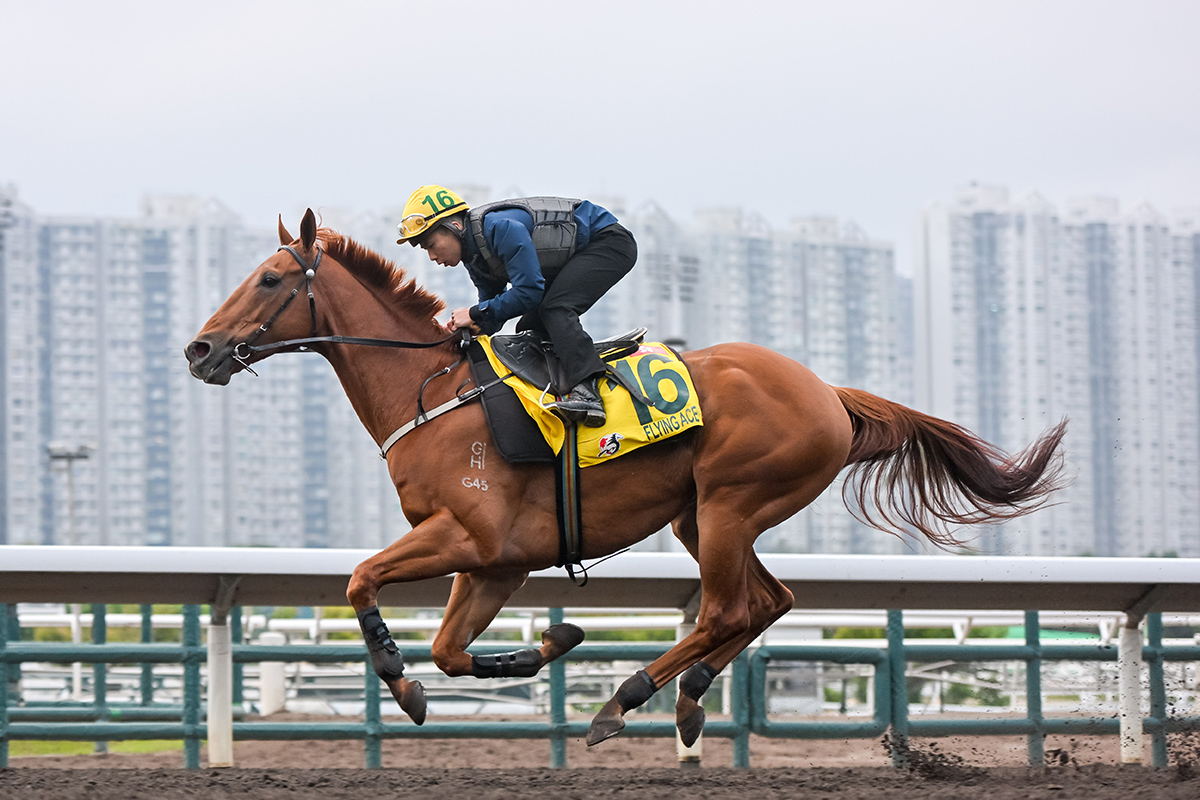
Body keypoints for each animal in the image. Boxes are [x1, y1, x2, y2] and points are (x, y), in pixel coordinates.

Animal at [187, 209, 1070, 748]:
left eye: (270, 279)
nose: (199, 350)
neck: (430, 392)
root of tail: (828, 392)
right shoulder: (497, 562)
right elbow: (449, 649)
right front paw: (547, 644)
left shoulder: (466, 537)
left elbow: (362, 580)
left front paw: (402, 684)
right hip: (703, 516)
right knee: (768, 601)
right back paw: (686, 696)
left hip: (730, 504)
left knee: (726, 609)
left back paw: (626, 698)